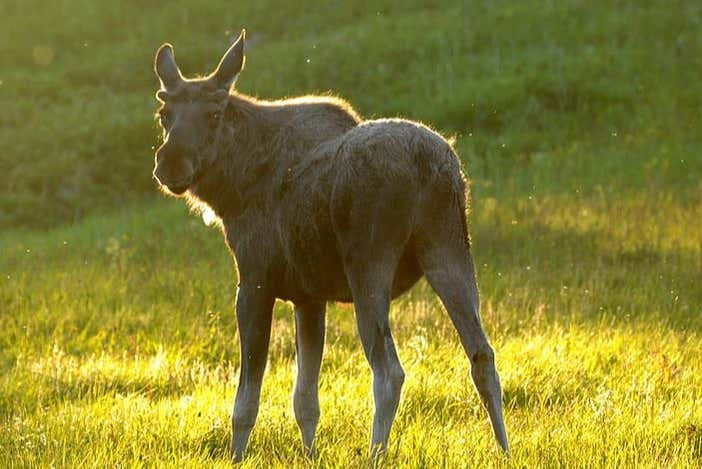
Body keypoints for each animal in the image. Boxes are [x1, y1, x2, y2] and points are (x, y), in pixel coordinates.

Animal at [154, 31, 508, 462]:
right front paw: (310, 456)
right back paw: (505, 452)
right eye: (164, 114)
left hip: (369, 265)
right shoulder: (309, 297)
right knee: (482, 355)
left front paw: (236, 458)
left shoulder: (254, 282)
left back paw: (375, 455)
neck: (230, 193)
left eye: (214, 115)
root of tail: (432, 168)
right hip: (449, 247)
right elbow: (305, 400)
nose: (171, 162)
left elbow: (246, 402)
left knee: (389, 371)